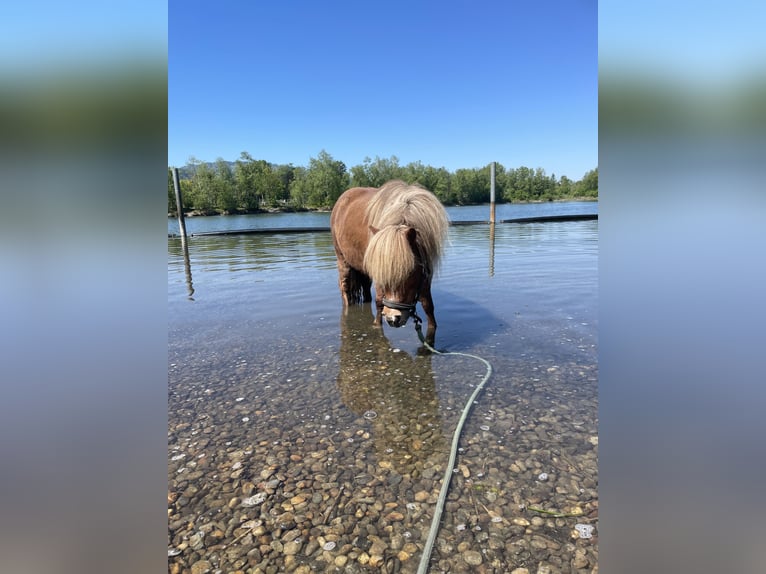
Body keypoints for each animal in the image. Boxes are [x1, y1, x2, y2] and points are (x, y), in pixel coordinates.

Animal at [330, 180, 449, 345]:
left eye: (411, 272)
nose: (393, 319)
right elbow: (380, 302)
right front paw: (377, 324)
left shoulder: (425, 277)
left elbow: (428, 306)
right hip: (343, 261)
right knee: (345, 288)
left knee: (366, 288)